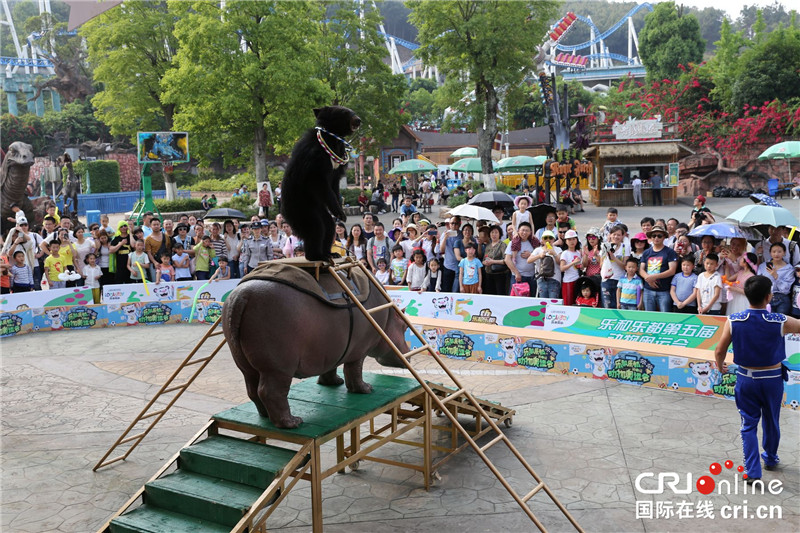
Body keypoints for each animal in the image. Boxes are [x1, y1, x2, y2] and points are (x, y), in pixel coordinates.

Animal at [278, 105, 360, 260]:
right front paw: (340, 213)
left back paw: (330, 253)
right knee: (315, 227)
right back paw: (316, 256)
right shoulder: (315, 160)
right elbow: (320, 183)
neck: (332, 140)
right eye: (344, 112)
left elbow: (334, 186)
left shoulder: (338, 165)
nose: (358, 120)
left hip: (316, 207)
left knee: (328, 225)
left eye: (352, 110)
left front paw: (340, 212)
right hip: (300, 207)